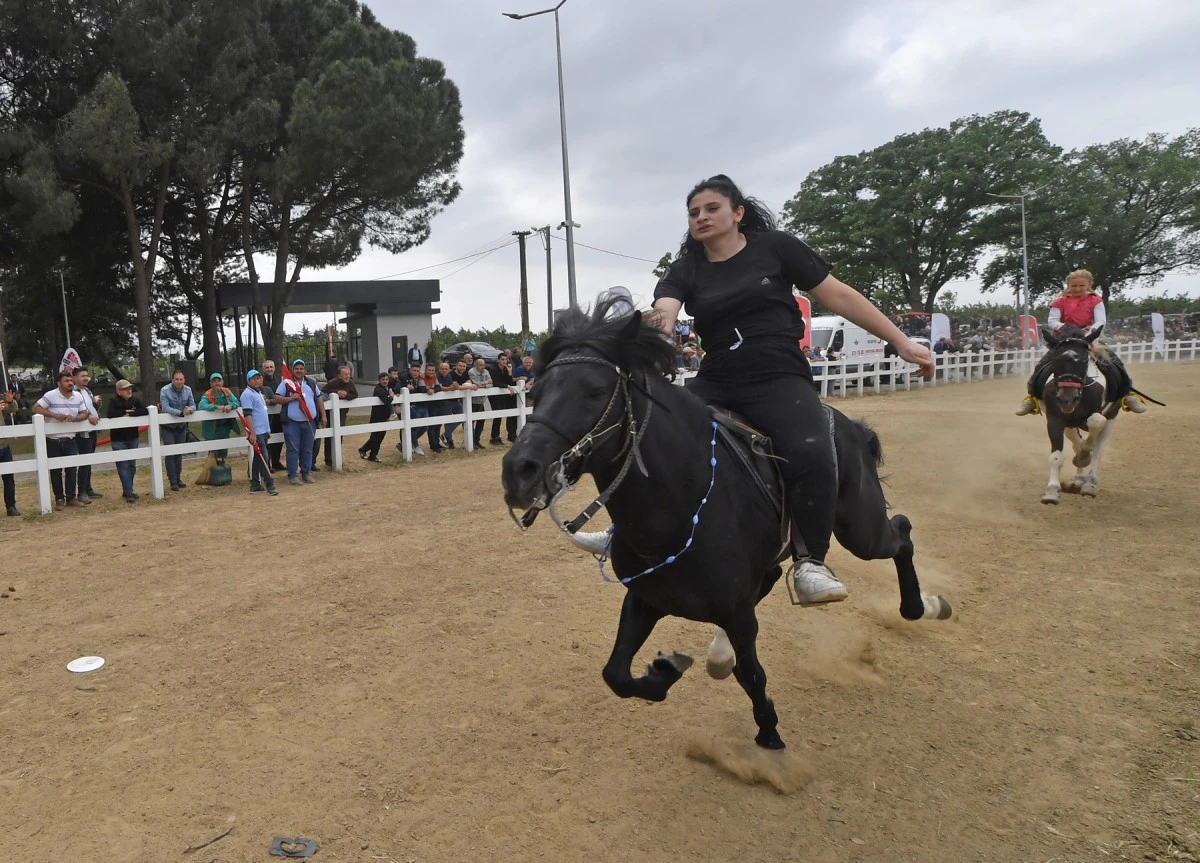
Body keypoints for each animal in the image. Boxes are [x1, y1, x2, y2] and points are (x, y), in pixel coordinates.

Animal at [501, 302, 950, 748]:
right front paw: (665, 670)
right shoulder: (645, 598)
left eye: (594, 391)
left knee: (902, 532)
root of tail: (851, 425)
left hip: (862, 531)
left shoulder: (737, 614)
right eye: (536, 392)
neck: (679, 506)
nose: (518, 472)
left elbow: (752, 675)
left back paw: (922, 606)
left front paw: (769, 733)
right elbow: (616, 675)